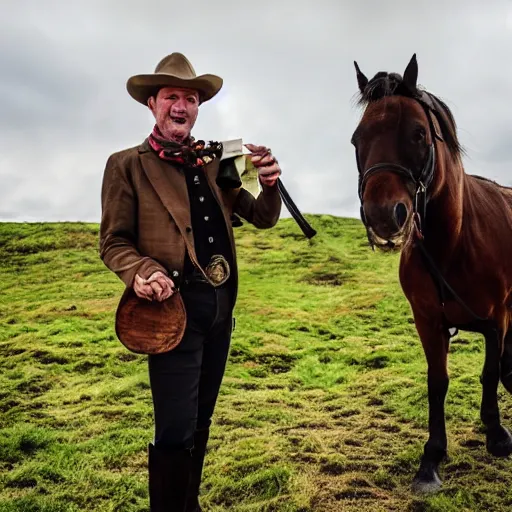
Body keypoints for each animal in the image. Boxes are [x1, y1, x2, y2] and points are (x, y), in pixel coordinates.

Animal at [350, 55, 512, 492]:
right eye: (357, 140)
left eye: (419, 134)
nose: (382, 216)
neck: (453, 242)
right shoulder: (428, 319)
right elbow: (437, 381)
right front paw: (432, 458)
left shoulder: (499, 317)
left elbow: (489, 372)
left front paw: (496, 433)